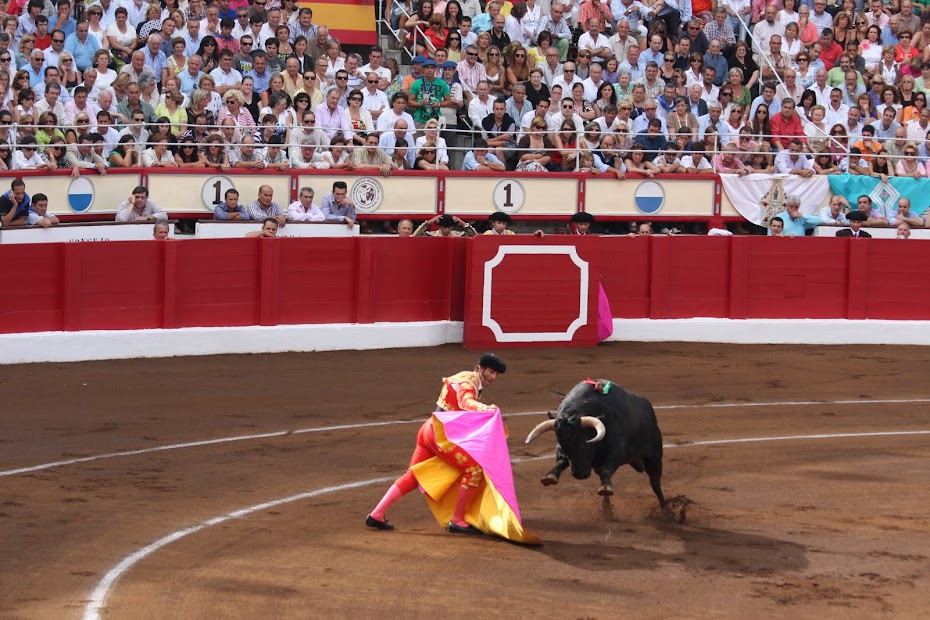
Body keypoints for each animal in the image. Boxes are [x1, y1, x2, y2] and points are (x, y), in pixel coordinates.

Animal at [520, 378, 668, 508]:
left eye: (585, 444)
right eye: (564, 445)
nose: (579, 475)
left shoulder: (617, 449)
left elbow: (607, 468)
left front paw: (605, 488)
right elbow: (561, 462)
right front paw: (549, 477)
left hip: (654, 457)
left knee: (655, 482)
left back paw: (665, 507)